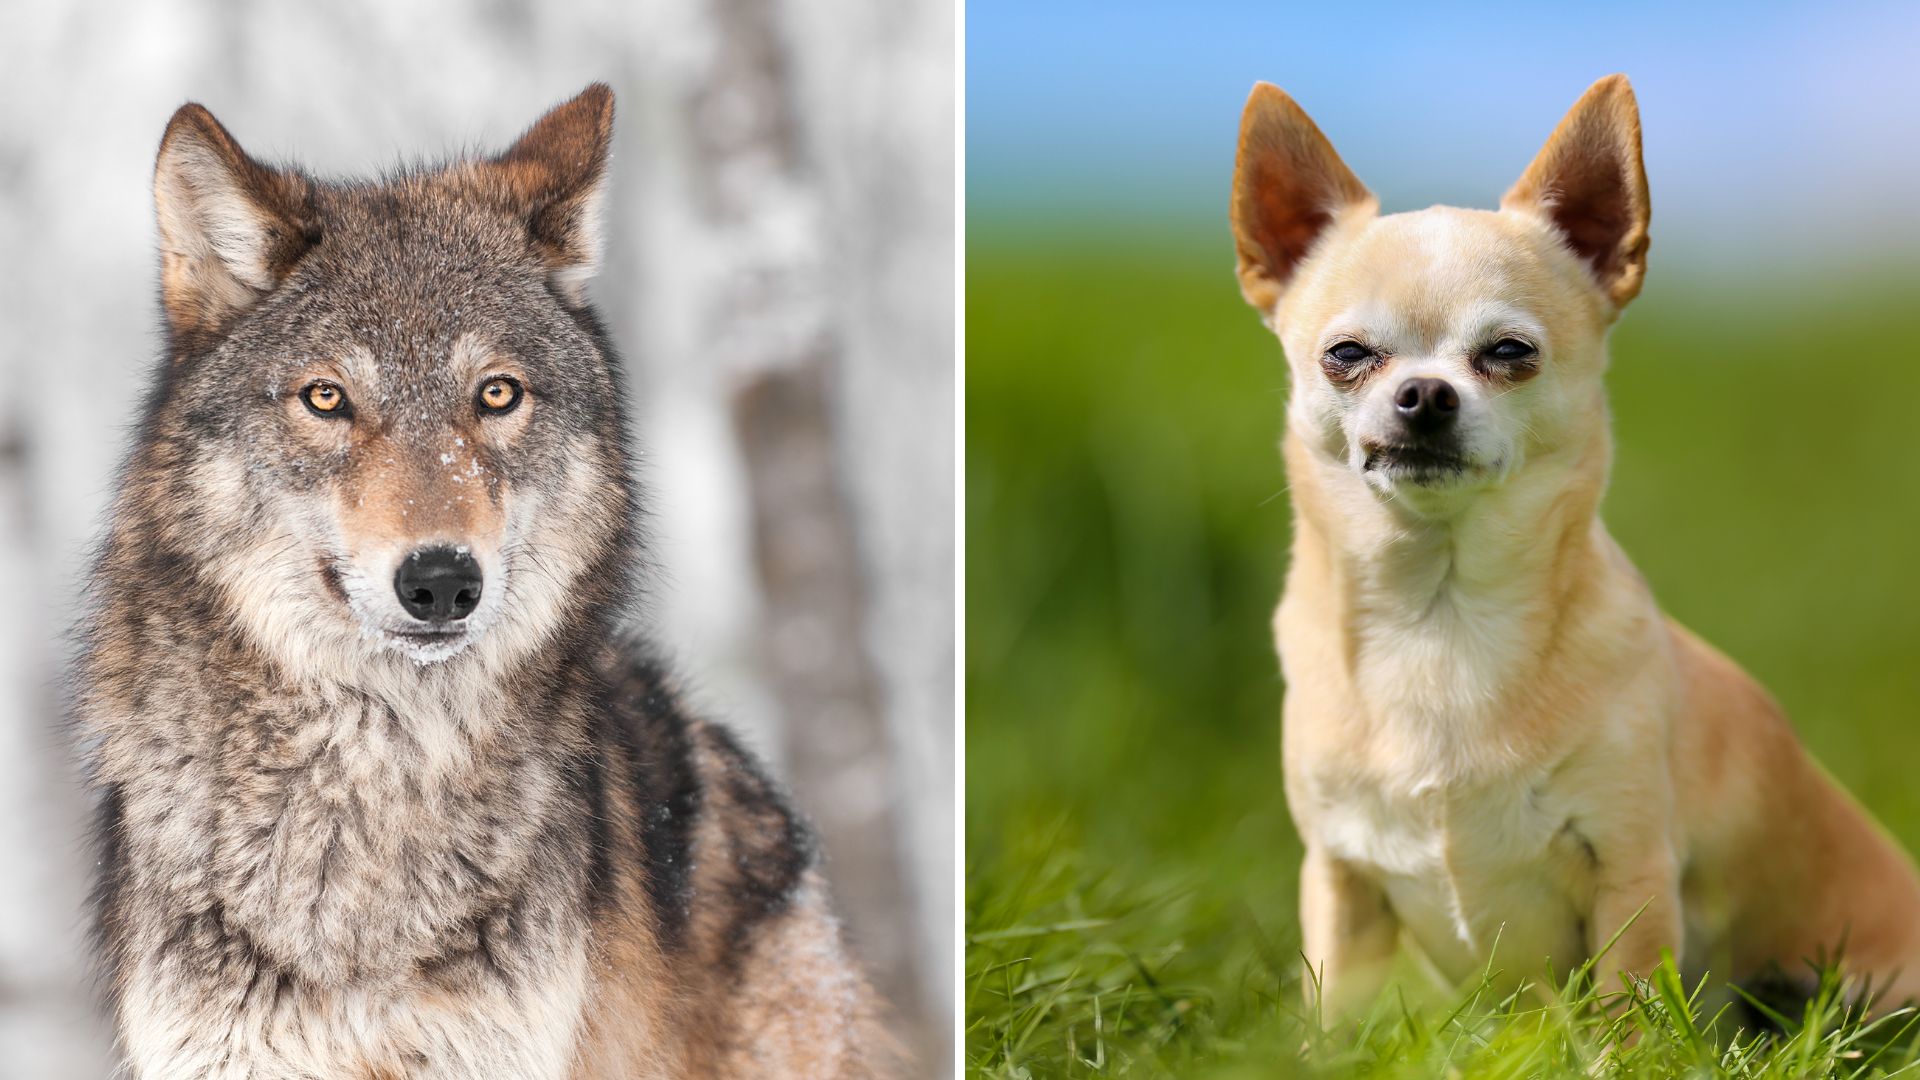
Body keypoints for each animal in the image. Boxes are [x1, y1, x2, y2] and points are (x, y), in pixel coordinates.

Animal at [1228, 74, 1920, 1019]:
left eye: (1508, 351)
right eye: (1347, 354)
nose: (1424, 394)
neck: (1440, 618)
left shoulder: (1628, 872)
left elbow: (1629, 1010)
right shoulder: (1341, 882)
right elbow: (1337, 1011)